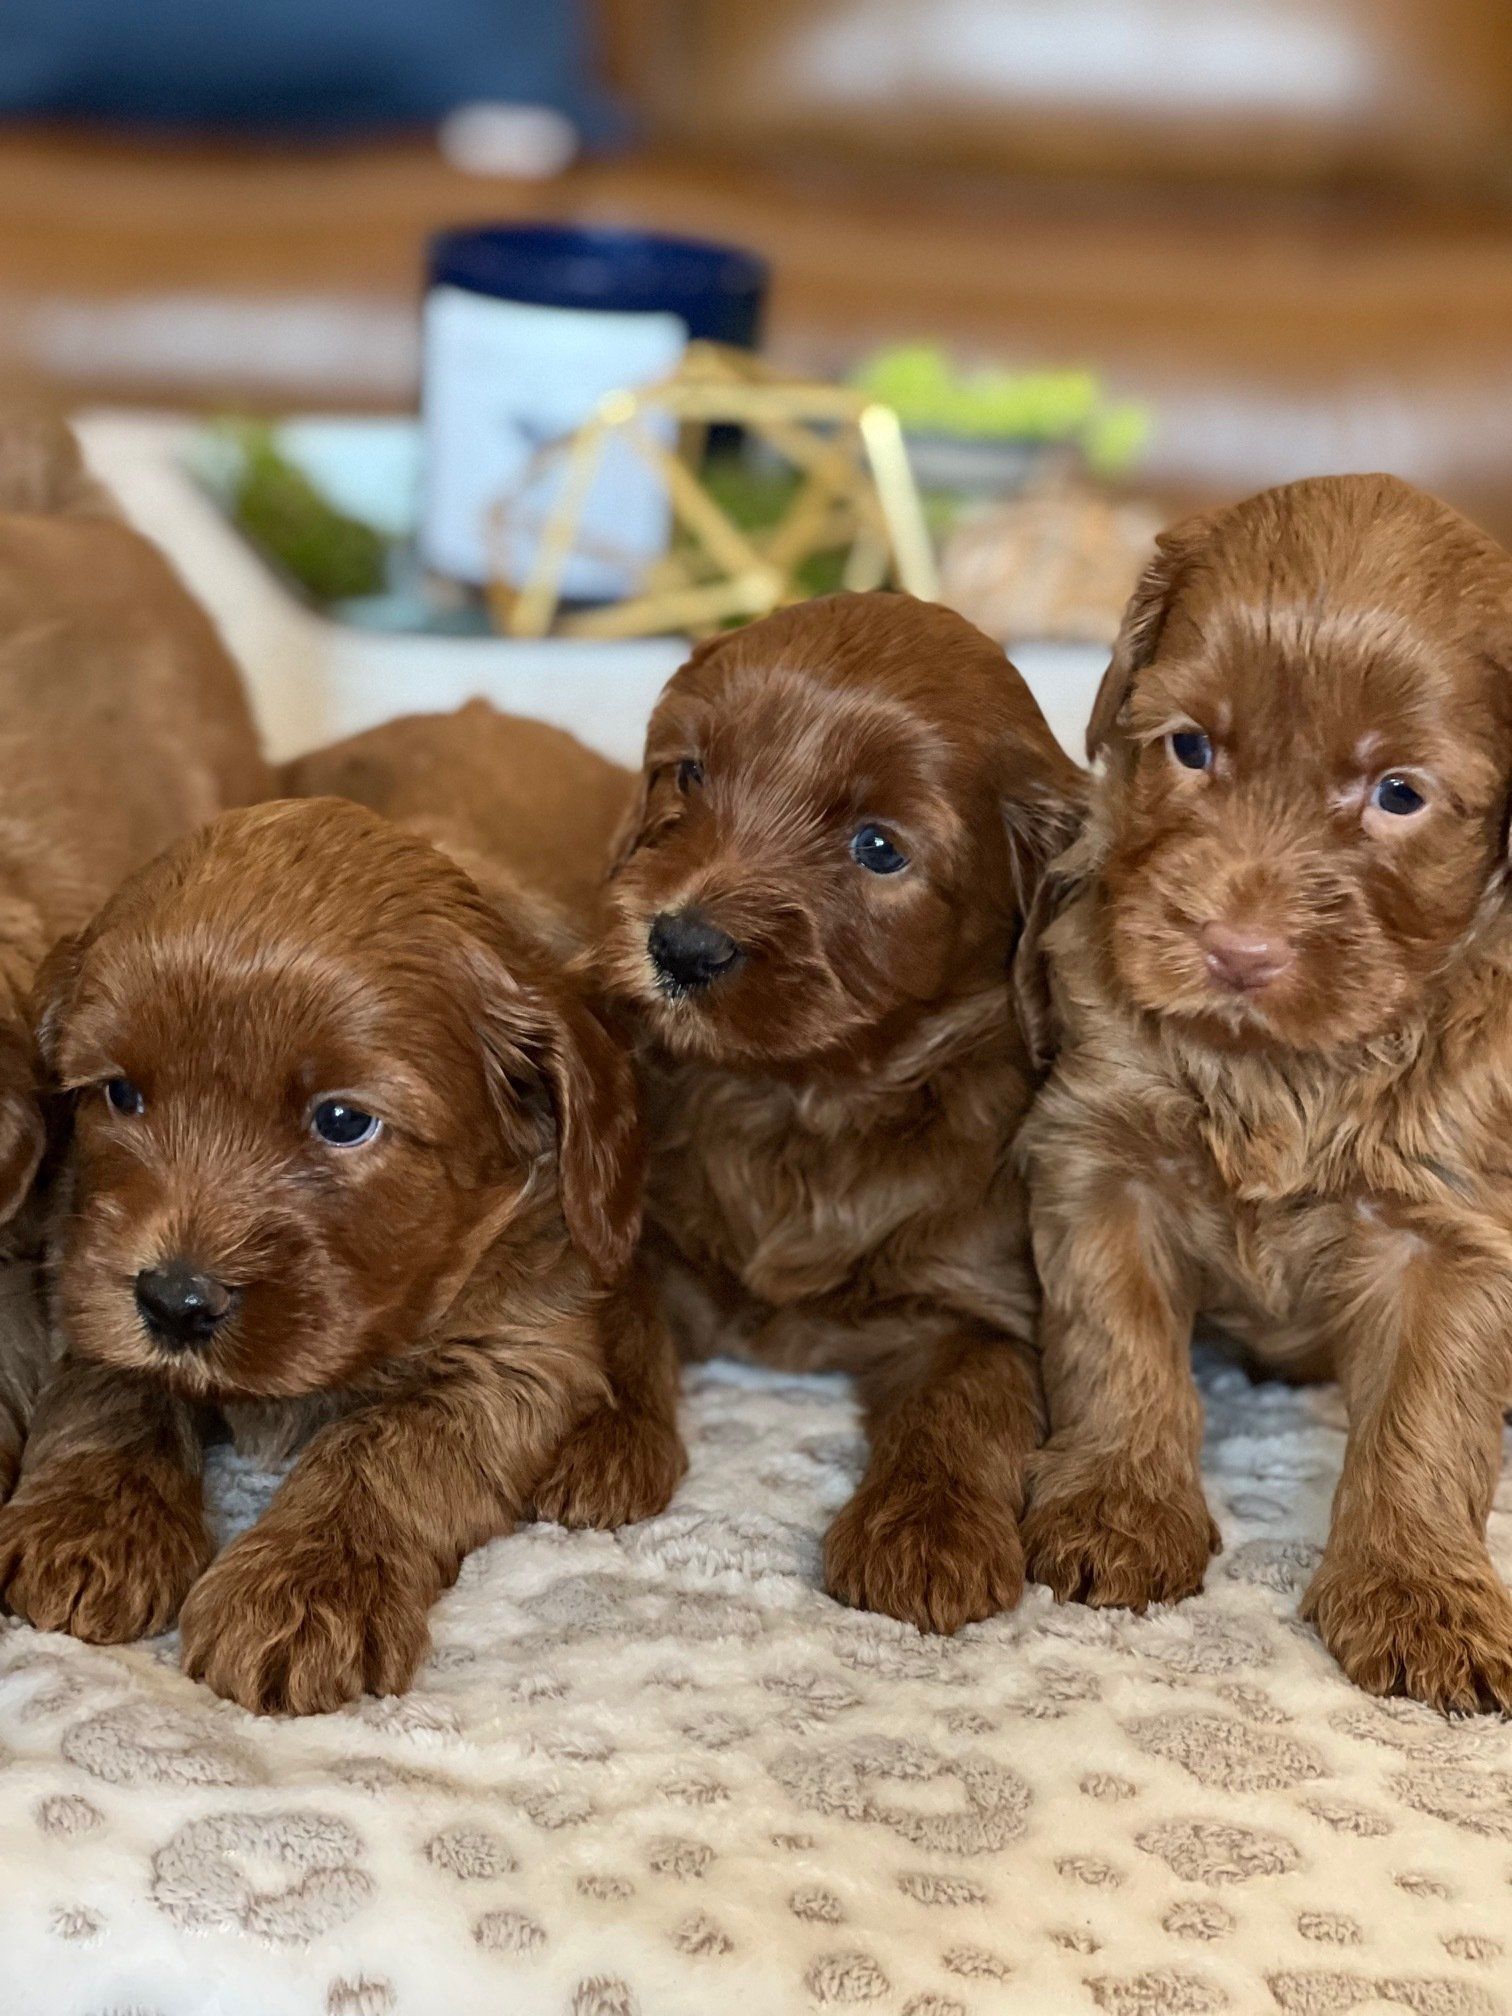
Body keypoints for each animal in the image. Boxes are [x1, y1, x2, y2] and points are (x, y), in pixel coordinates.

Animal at [0, 794, 645, 1709]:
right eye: (119, 1093)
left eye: (343, 1120)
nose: (175, 1302)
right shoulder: (82, 1265)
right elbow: (114, 1384)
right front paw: (91, 1522)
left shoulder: (515, 1352)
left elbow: (383, 1448)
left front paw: (307, 1589)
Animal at [592, 588, 1088, 1628]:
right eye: (689, 773)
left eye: (878, 848)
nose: (681, 946)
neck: (804, 1103)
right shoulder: (640, 1229)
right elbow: (615, 1312)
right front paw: (599, 1436)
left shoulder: (980, 1294)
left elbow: (967, 1398)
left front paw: (928, 1533)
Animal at [1020, 475, 1512, 1717]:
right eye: (1190, 745)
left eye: (1399, 794)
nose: (1237, 951)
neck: (1282, 1063)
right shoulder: (1102, 1160)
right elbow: (1116, 1343)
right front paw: (1119, 1507)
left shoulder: (1451, 1226)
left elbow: (1427, 1419)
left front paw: (1422, 1595)